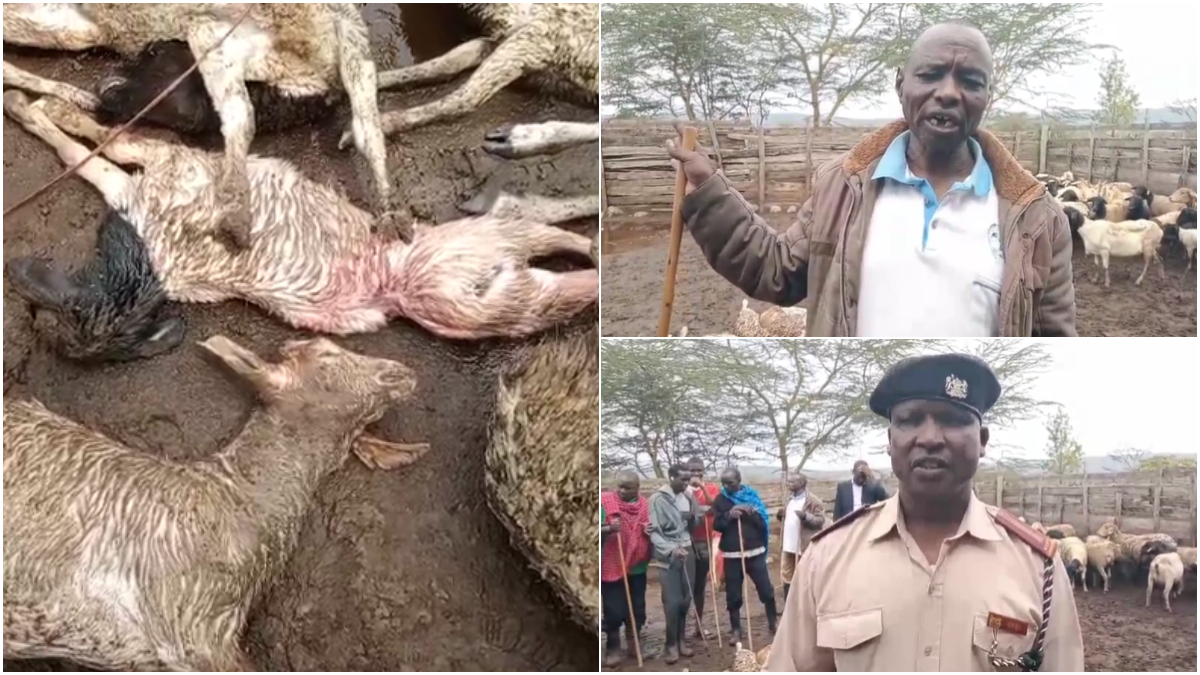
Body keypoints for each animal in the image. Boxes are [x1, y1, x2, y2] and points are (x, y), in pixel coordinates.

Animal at [2, 3, 391, 249]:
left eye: (154, 50)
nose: (105, 98)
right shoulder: (209, 31)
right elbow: (241, 114)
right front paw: (238, 214)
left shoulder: (351, 42)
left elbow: (368, 128)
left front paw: (389, 214)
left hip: (65, 26)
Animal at [2, 92, 597, 362]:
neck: (146, 267)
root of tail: (397, 286)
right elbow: (90, 154)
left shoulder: (170, 165)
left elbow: (92, 145)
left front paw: (36, 106)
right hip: (474, 302)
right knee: (552, 265)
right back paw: (589, 260)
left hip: (468, 267)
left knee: (545, 236)